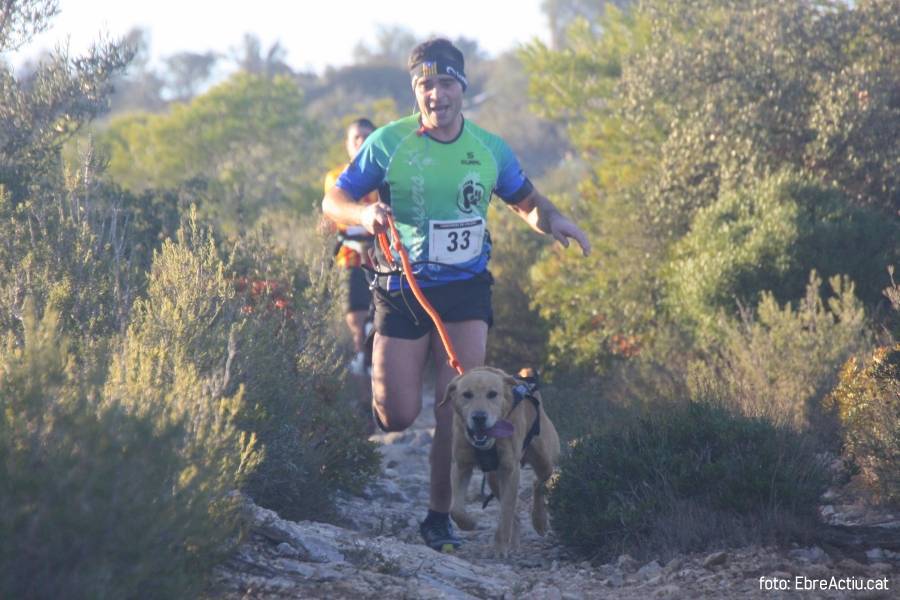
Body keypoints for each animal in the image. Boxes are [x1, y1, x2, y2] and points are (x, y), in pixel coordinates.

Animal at [444, 366, 560, 556]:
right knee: (516, 510)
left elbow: (506, 511)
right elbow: (456, 509)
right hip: (493, 478)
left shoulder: (509, 470)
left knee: (537, 483)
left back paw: (539, 521)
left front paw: (499, 547)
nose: (479, 417)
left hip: (544, 461)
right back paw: (515, 539)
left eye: (492, 394)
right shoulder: (461, 466)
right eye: (467, 394)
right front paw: (469, 523)